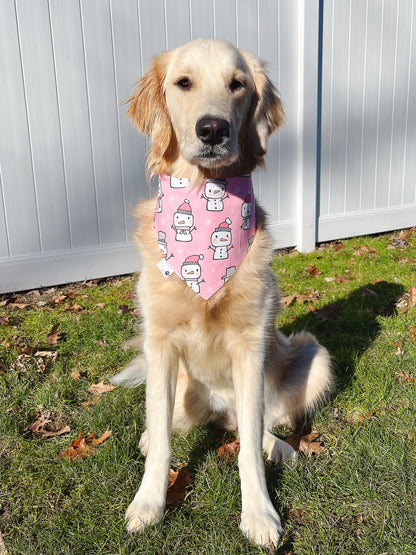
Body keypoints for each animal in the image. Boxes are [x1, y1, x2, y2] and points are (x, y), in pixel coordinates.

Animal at [112, 40, 334, 552]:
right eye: (183, 83)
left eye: (238, 85)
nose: (213, 129)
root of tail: (218, 409)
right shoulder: (160, 343)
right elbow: (162, 441)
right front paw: (148, 503)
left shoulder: (250, 345)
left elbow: (248, 447)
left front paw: (260, 514)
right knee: (167, 423)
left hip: (313, 354)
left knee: (260, 424)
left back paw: (281, 447)